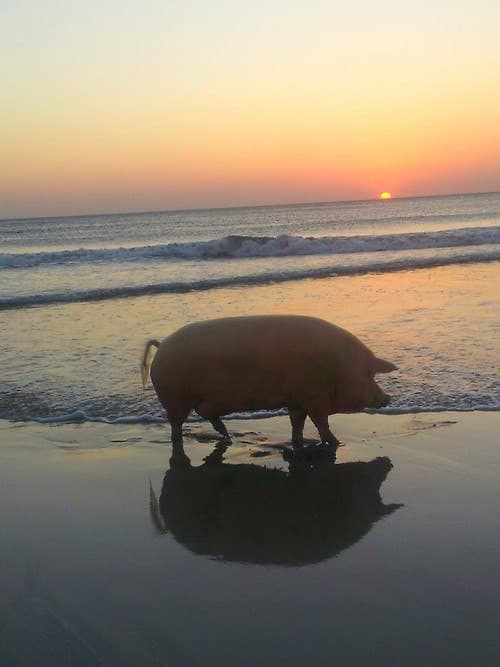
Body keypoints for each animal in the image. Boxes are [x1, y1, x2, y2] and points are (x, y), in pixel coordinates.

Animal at [142, 316, 398, 452]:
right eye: (369, 374)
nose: (388, 398)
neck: (338, 368)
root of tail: (161, 345)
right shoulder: (314, 398)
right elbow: (321, 423)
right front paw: (336, 443)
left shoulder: (297, 400)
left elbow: (297, 423)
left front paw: (298, 443)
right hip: (174, 399)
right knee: (176, 425)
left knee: (212, 420)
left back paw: (228, 437)